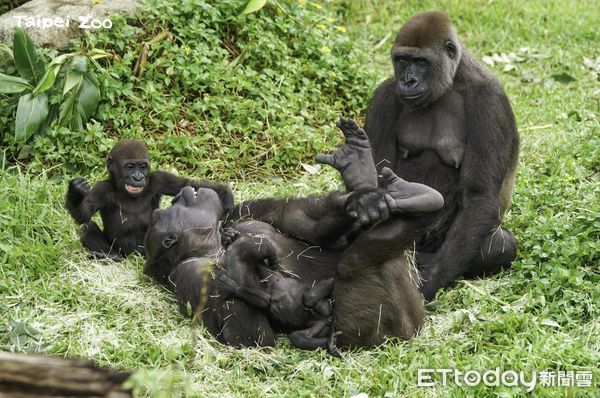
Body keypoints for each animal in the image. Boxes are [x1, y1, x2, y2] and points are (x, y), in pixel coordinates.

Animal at [65, 138, 233, 260]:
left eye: (143, 166)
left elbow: (189, 184)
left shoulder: (159, 179)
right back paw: (110, 256)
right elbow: (83, 214)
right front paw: (75, 191)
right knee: (86, 228)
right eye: (130, 167)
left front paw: (226, 195)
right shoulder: (102, 189)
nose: (138, 177)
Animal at [360, 10, 520, 300]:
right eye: (402, 60)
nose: (408, 80)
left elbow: (479, 195)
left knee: (501, 245)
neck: (452, 79)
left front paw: (427, 283)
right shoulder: (384, 97)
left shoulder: (489, 99)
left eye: (422, 62)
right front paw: (368, 204)